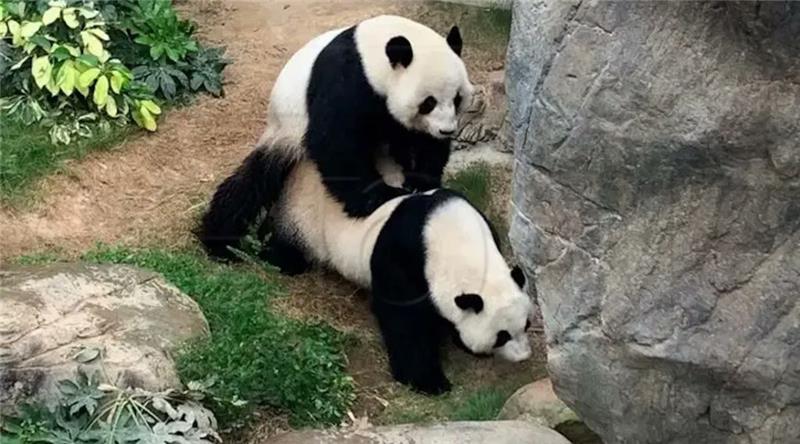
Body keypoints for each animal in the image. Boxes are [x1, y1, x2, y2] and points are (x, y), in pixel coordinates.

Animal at [198, 14, 476, 260]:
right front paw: (379, 196)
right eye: (428, 102)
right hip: (285, 131)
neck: (373, 55)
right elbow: (335, 143)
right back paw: (220, 241)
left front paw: (421, 180)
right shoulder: (347, 80)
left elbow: (421, 142)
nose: (447, 131)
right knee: (253, 182)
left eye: (457, 98)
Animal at [266, 159, 536, 392]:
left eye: (526, 324)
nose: (524, 357)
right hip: (304, 218)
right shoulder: (403, 254)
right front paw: (429, 381)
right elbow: (404, 319)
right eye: (501, 336)